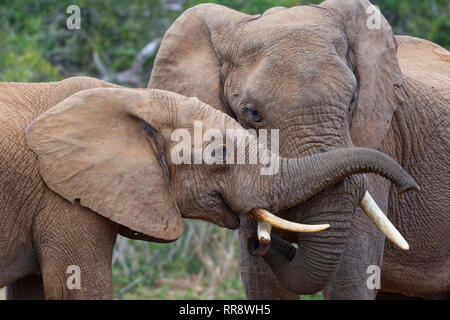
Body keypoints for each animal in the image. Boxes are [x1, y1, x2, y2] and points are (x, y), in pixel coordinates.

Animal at [149, 0, 450, 300]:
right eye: (253, 113)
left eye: (352, 102)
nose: (409, 187)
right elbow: (262, 282)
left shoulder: (379, 137)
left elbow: (350, 275)